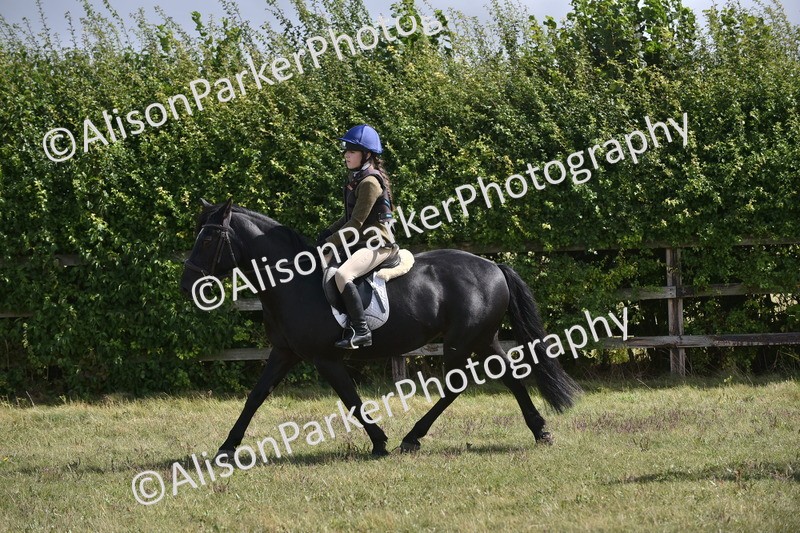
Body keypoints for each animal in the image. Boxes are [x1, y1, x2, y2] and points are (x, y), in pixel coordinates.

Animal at [180, 199, 581, 459]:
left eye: (209, 239)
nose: (186, 286)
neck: (292, 282)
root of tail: (494, 266)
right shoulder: (285, 353)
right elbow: (256, 396)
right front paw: (226, 449)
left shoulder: (325, 358)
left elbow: (351, 400)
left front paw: (379, 442)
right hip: (484, 338)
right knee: (511, 377)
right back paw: (540, 431)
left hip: (462, 340)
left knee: (456, 385)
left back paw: (412, 438)